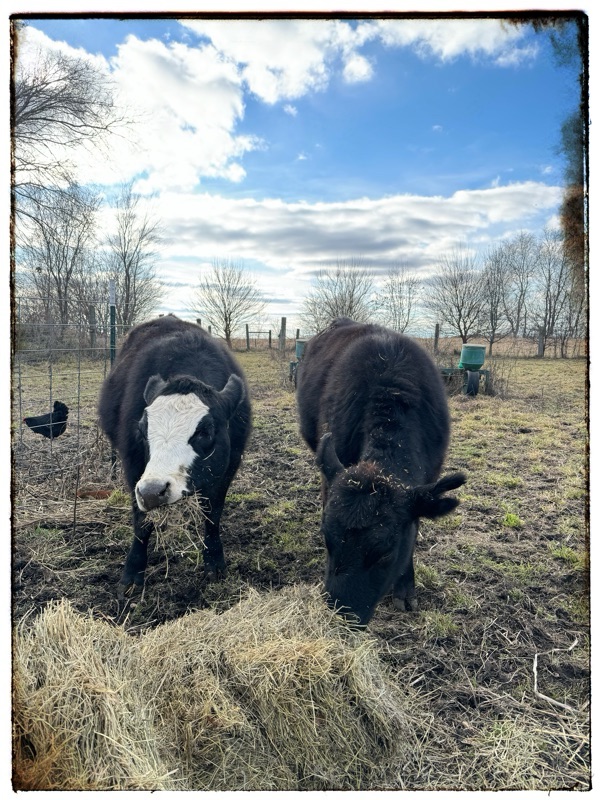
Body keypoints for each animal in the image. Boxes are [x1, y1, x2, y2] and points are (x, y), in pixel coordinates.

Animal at [98, 315, 251, 598]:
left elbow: (212, 515)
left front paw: (214, 563)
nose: (153, 491)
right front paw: (132, 574)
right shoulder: (133, 467)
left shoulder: (228, 466)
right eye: (142, 428)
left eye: (204, 431)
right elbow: (141, 522)